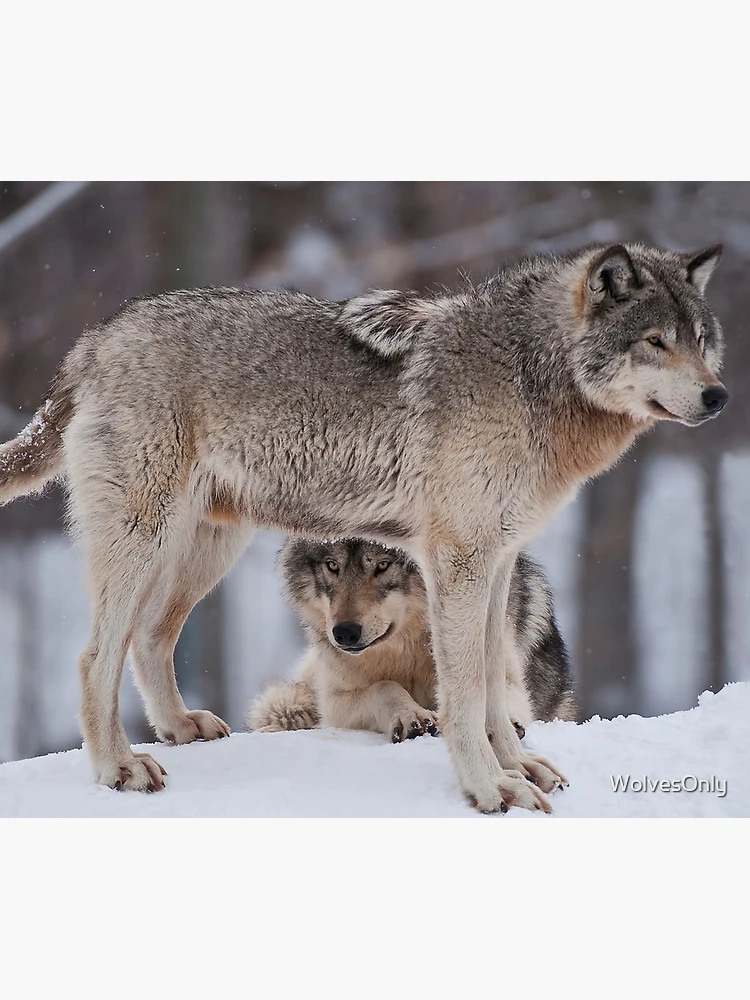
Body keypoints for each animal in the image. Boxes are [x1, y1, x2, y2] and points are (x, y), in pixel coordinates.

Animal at [248, 538, 575, 743]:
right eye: (332, 566)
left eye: (383, 565)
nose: (345, 633)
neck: (409, 650)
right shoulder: (334, 702)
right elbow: (384, 686)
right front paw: (411, 716)